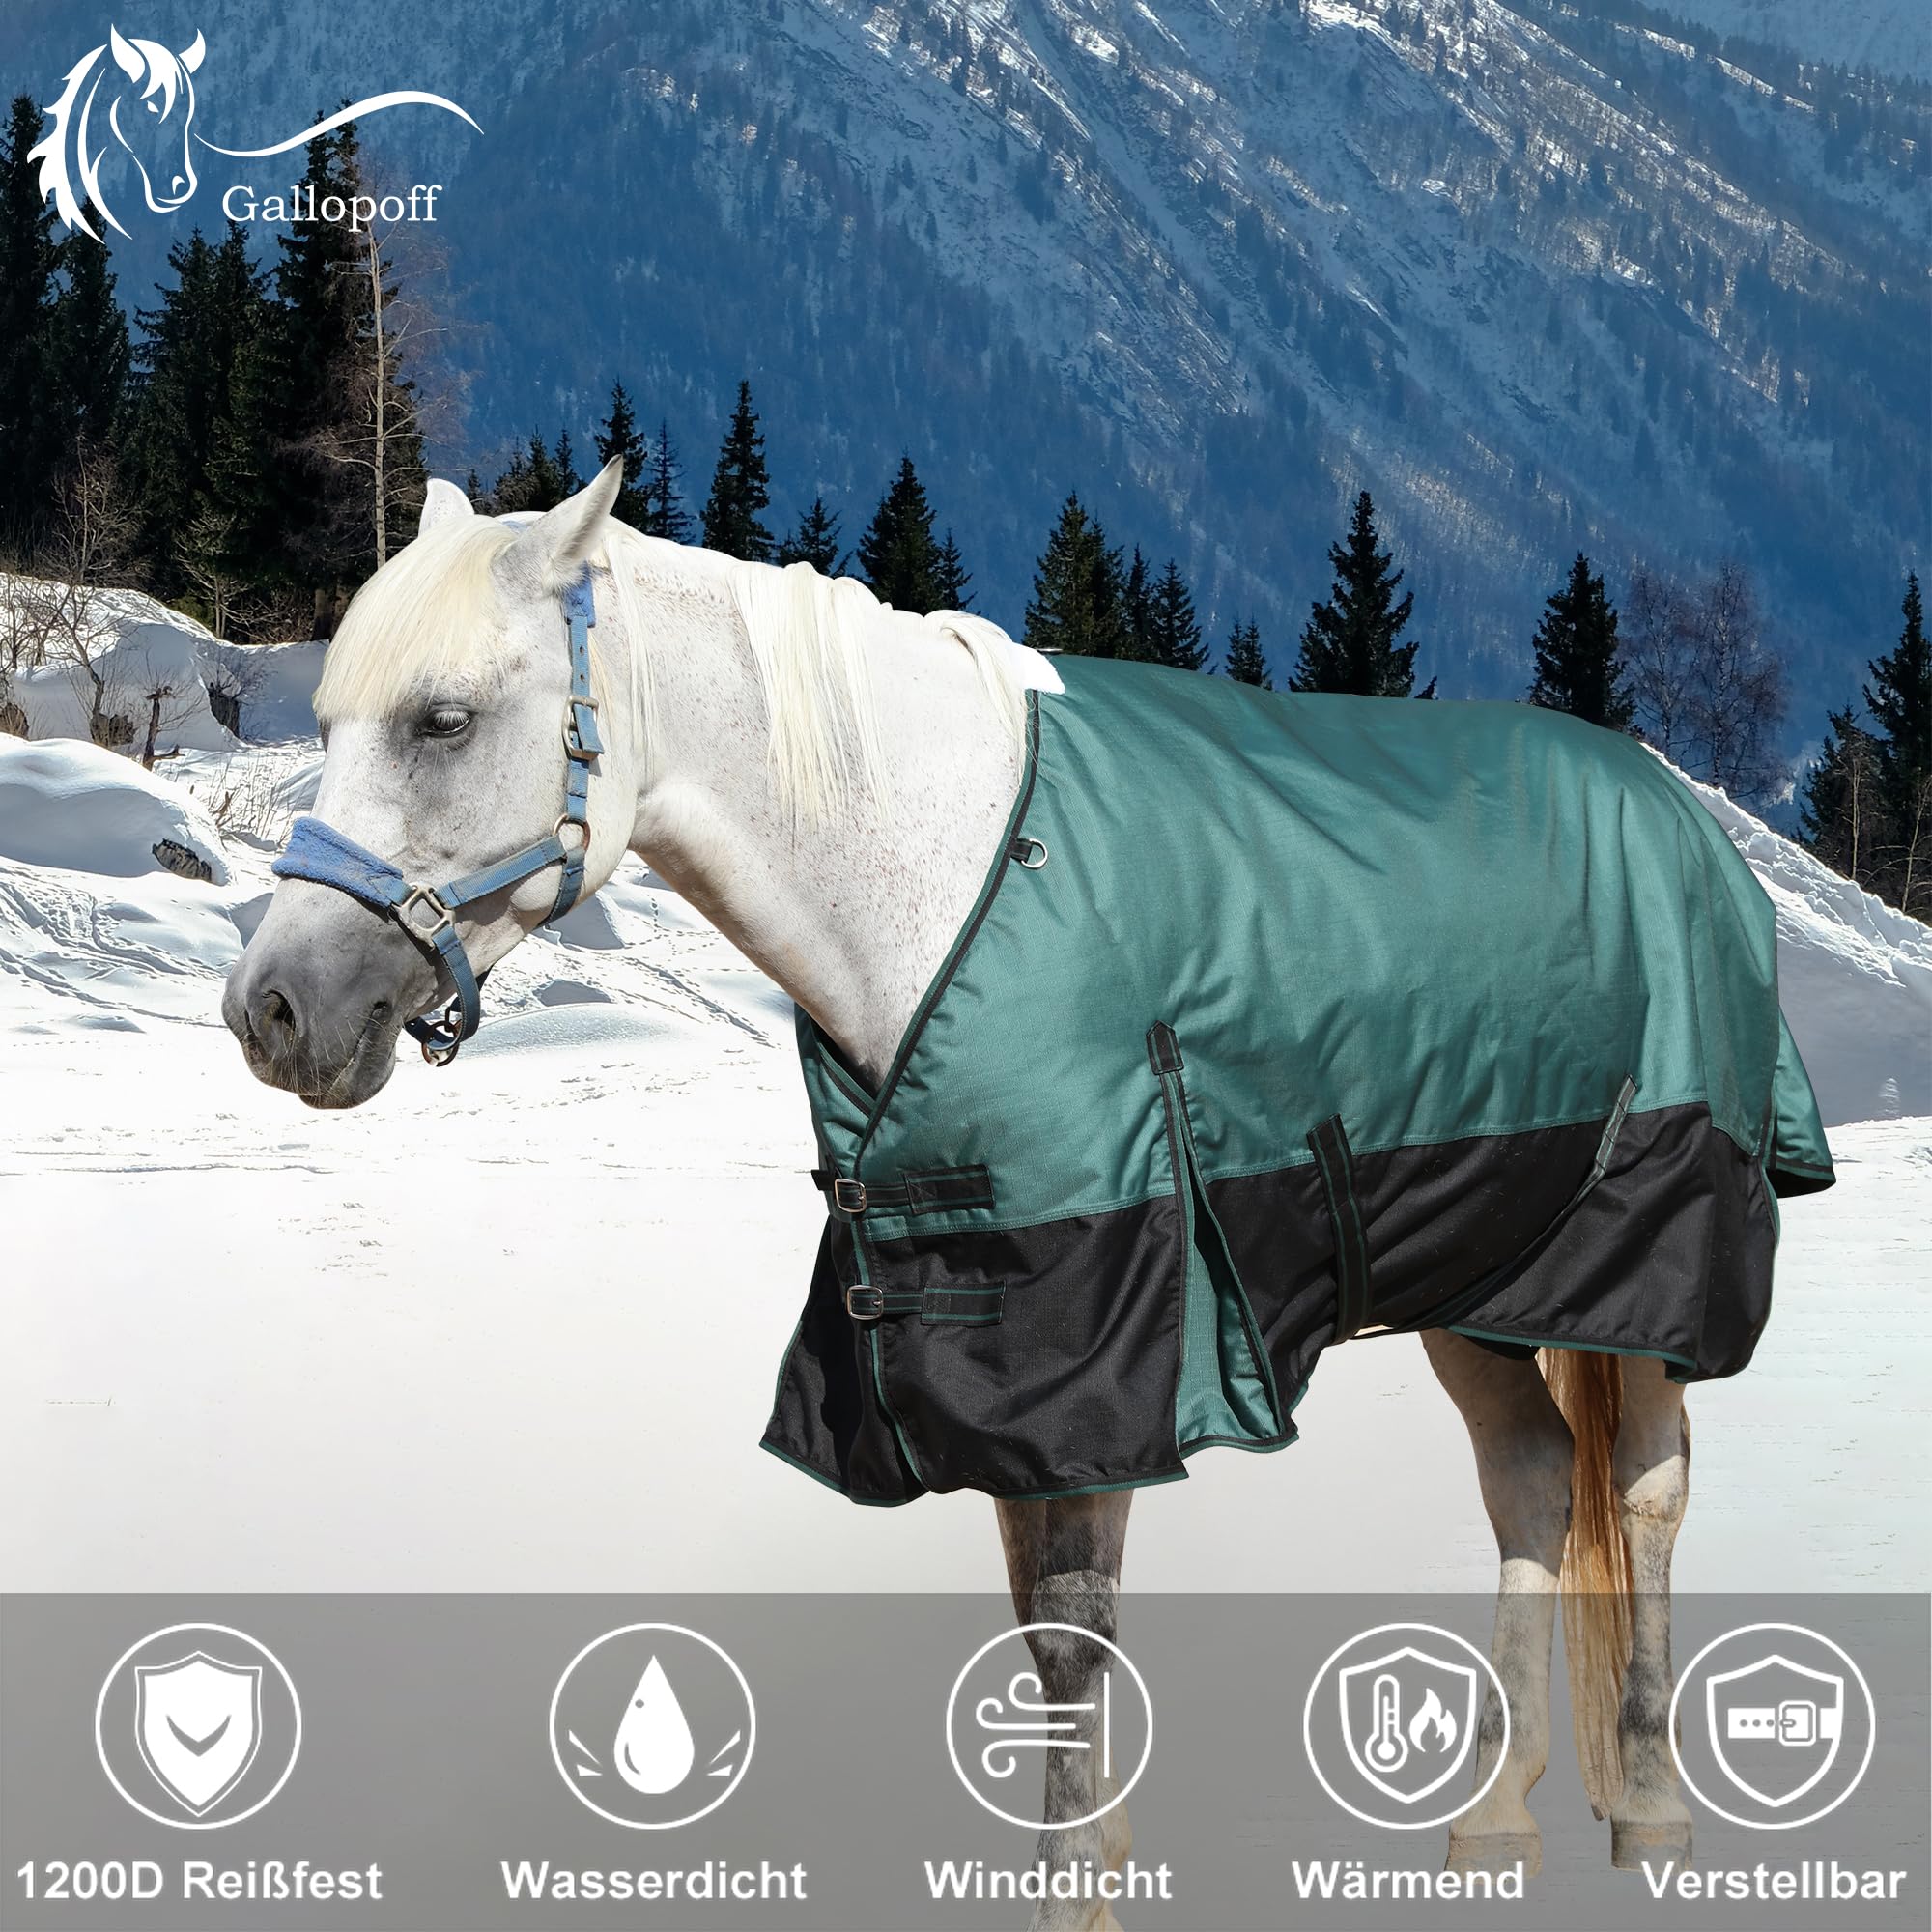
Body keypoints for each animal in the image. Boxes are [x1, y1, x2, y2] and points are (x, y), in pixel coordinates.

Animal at [226, 462, 1812, 1926]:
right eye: (329, 724)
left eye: (442, 720)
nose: (273, 1012)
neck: (942, 891)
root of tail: (1680, 812)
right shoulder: (988, 1356)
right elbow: (1047, 1654)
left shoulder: (1102, 1355)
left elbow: (1079, 1645)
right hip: (1470, 1262)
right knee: (1533, 1477)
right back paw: (1492, 1816)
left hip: (1646, 1249)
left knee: (1648, 1487)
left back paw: (1652, 1813)